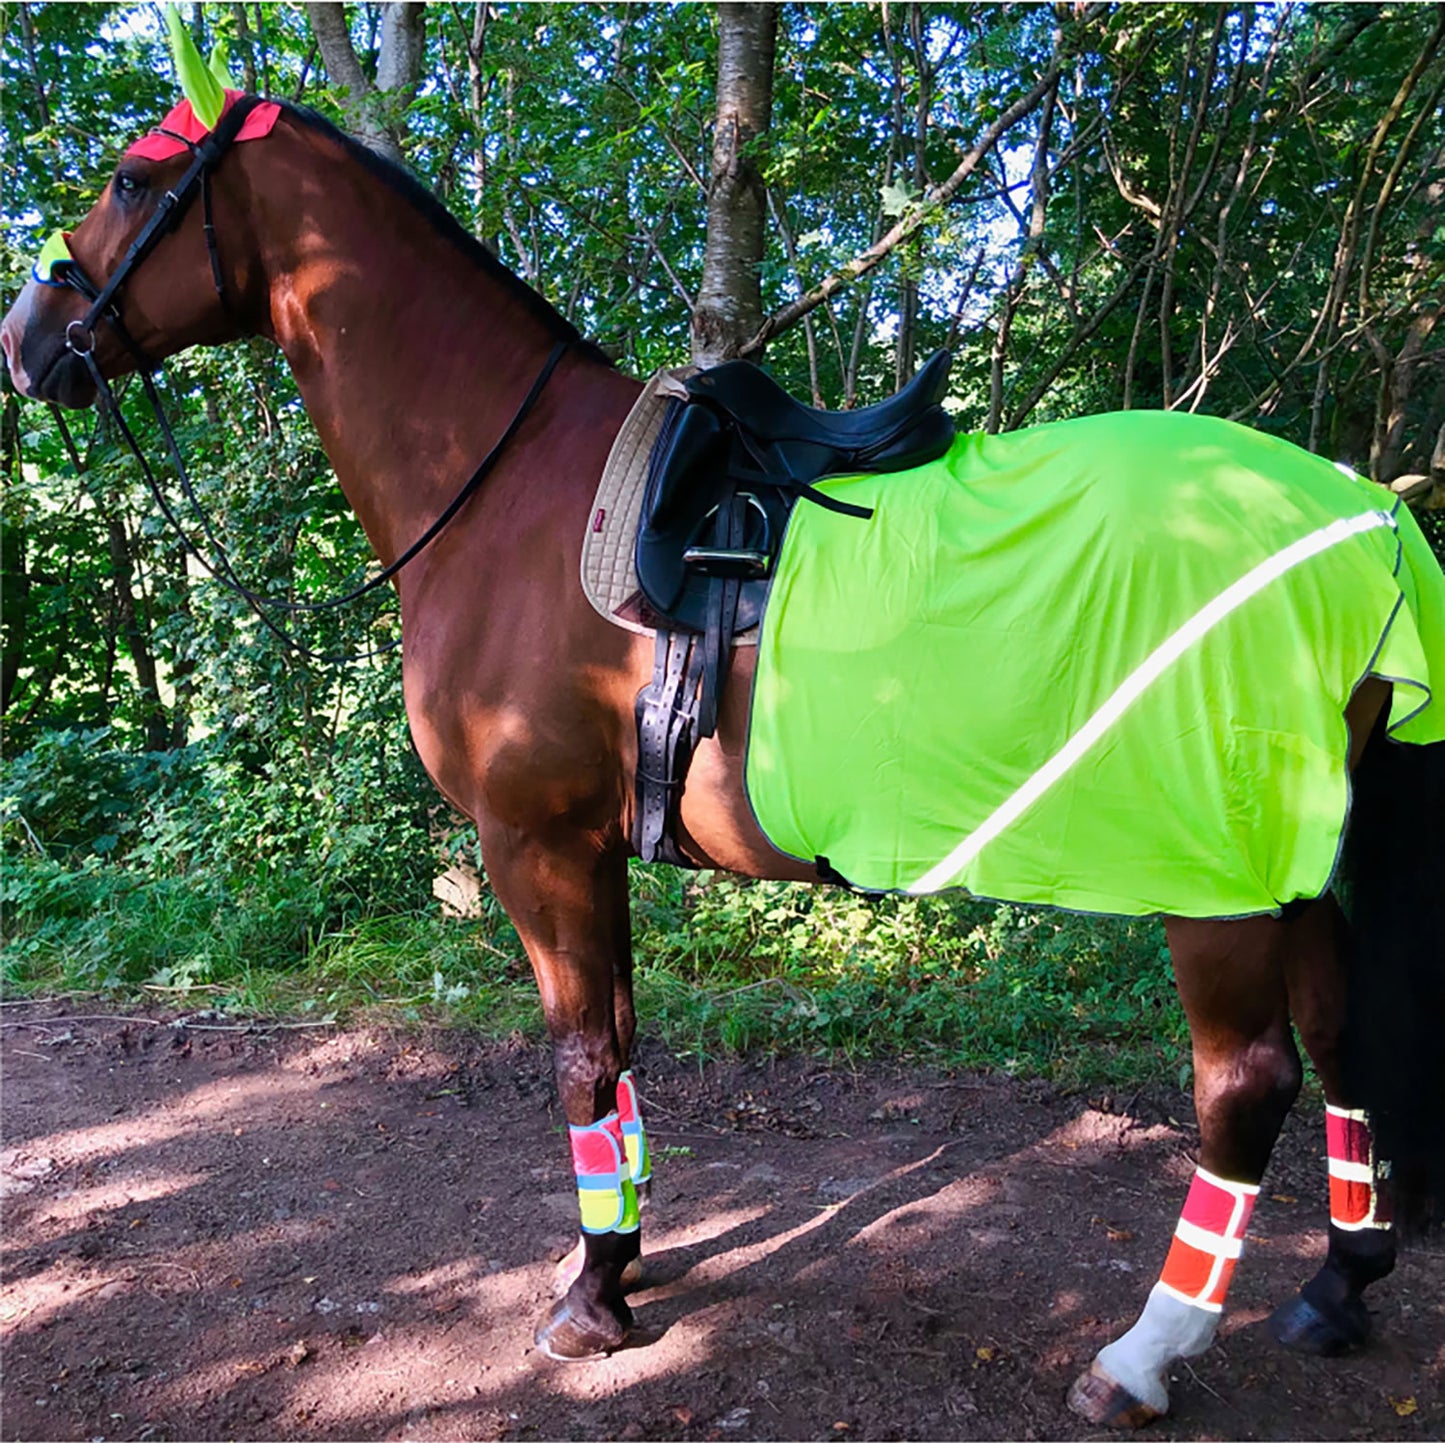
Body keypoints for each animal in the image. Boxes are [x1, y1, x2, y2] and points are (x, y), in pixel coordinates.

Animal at [5, 82, 1443, 1431]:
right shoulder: (591, 847)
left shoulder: (531, 841)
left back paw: (1142, 1353)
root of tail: (1362, 519)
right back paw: (1337, 1285)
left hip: (1215, 874)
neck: (504, 489)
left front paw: (592, 1299)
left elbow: (579, 1058)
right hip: (1294, 861)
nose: (25, 338)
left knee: (1245, 1084)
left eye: (130, 179)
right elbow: (621, 1047)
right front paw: (624, 1255)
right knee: (1340, 1038)